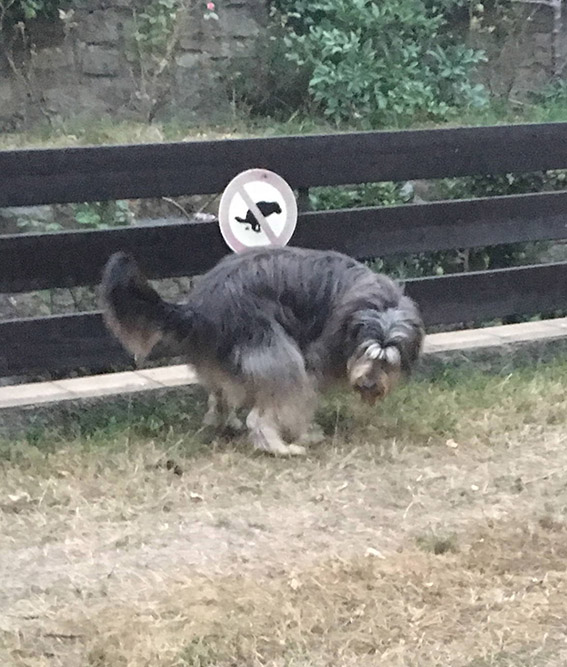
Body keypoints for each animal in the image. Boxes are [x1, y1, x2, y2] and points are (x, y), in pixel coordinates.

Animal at [98, 248, 426, 456]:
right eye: (368, 353)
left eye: (388, 361)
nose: (370, 384)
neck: (375, 307)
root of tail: (198, 310)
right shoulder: (315, 360)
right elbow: (302, 404)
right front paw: (305, 433)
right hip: (278, 352)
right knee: (259, 417)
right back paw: (280, 448)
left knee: (220, 396)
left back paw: (224, 421)